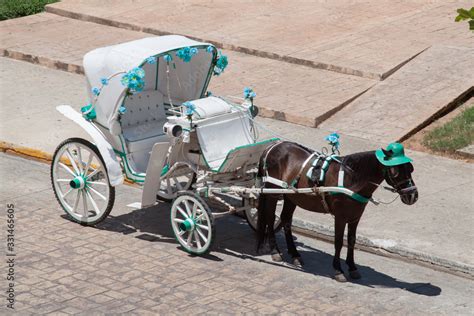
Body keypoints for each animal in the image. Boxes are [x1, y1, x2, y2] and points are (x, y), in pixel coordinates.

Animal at [256, 141, 418, 282]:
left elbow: (351, 240)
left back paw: (295, 254)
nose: (412, 195)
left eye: (410, 168)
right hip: (272, 192)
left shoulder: (355, 216)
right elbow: (339, 242)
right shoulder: (340, 217)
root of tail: (273, 146)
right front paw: (338, 270)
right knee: (270, 218)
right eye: (395, 171)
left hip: (291, 197)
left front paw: (352, 268)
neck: (351, 177)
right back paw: (275, 251)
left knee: (286, 220)